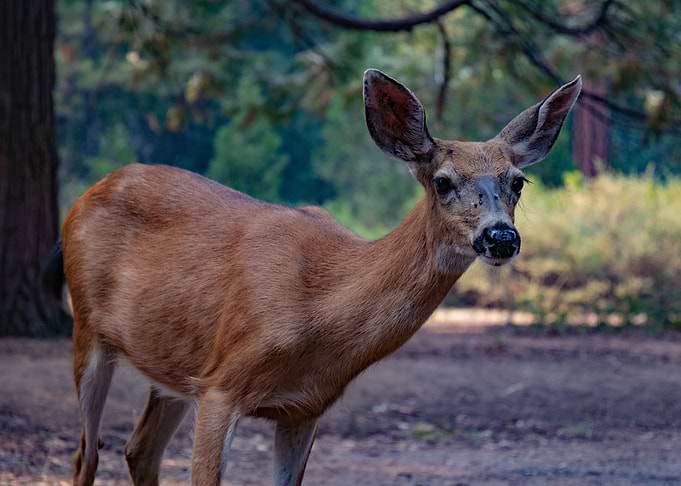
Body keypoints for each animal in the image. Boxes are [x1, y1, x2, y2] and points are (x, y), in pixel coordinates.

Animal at [59, 69, 581, 486]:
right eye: (442, 181)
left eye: (518, 182)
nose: (501, 237)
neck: (318, 308)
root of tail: (86, 194)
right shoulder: (222, 385)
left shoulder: (303, 407)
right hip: (86, 326)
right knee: (87, 456)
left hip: (171, 363)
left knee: (139, 449)